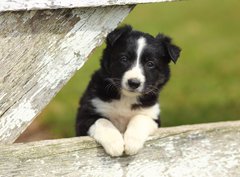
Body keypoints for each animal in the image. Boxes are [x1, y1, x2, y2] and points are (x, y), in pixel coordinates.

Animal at [76, 25, 181, 156]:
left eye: (150, 64)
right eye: (124, 59)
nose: (134, 83)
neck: (126, 98)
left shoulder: (153, 116)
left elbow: (140, 118)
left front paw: (132, 143)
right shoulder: (84, 115)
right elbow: (102, 121)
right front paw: (115, 143)